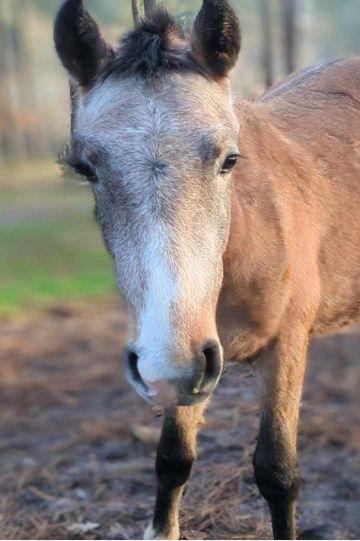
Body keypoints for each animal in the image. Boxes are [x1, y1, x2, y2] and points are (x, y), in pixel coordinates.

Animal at [53, 2, 360, 536]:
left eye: (229, 159)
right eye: (87, 169)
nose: (166, 362)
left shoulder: (287, 345)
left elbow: (277, 472)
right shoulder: (189, 362)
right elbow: (173, 457)